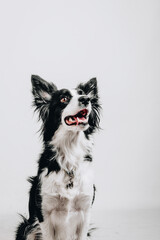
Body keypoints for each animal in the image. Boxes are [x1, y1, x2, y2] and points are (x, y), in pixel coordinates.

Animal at [15, 75, 100, 240]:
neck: (70, 151)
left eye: (82, 94)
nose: (86, 99)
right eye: (64, 98)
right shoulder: (44, 213)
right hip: (27, 227)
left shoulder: (85, 211)